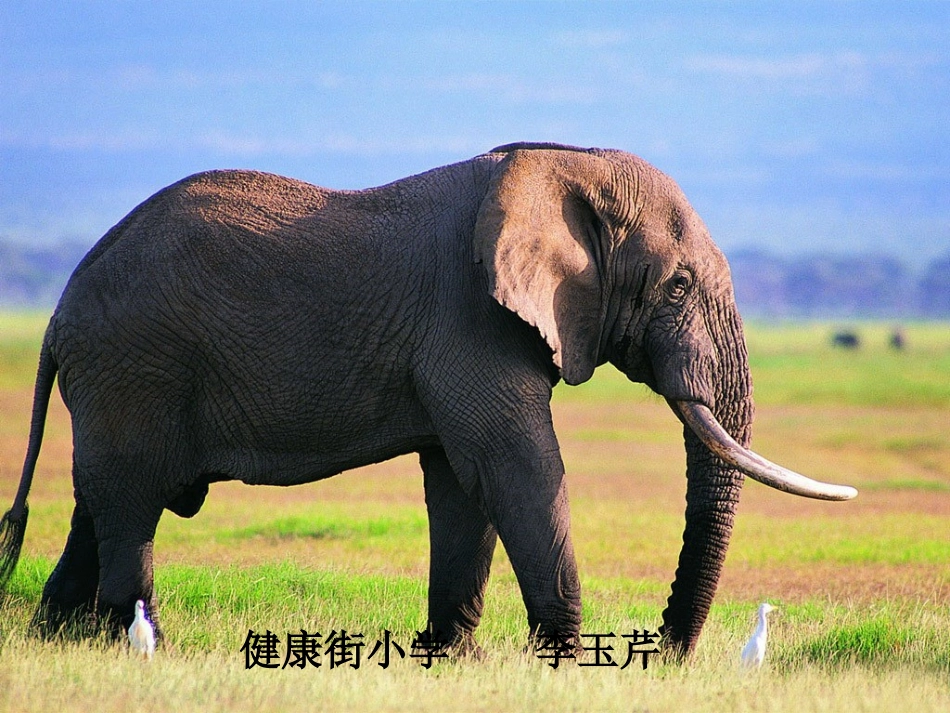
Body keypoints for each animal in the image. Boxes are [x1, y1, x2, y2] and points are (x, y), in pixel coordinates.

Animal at [0, 142, 857, 659]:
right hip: (134, 365)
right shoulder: (470, 319)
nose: (663, 651)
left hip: (118, 379)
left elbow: (462, 484)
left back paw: (57, 636)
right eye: (676, 287)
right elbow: (517, 466)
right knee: (129, 503)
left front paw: (453, 658)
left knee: (97, 500)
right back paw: (140, 643)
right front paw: (563, 661)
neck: (561, 160)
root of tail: (57, 313)